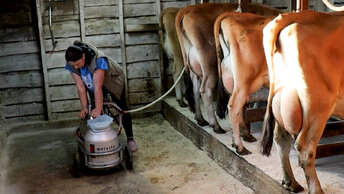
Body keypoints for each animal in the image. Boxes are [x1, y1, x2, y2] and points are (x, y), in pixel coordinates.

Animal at [260, 10, 344, 194]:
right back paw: (316, 189)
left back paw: (290, 182)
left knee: (281, 138)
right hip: (318, 104)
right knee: (305, 147)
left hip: (283, 97)